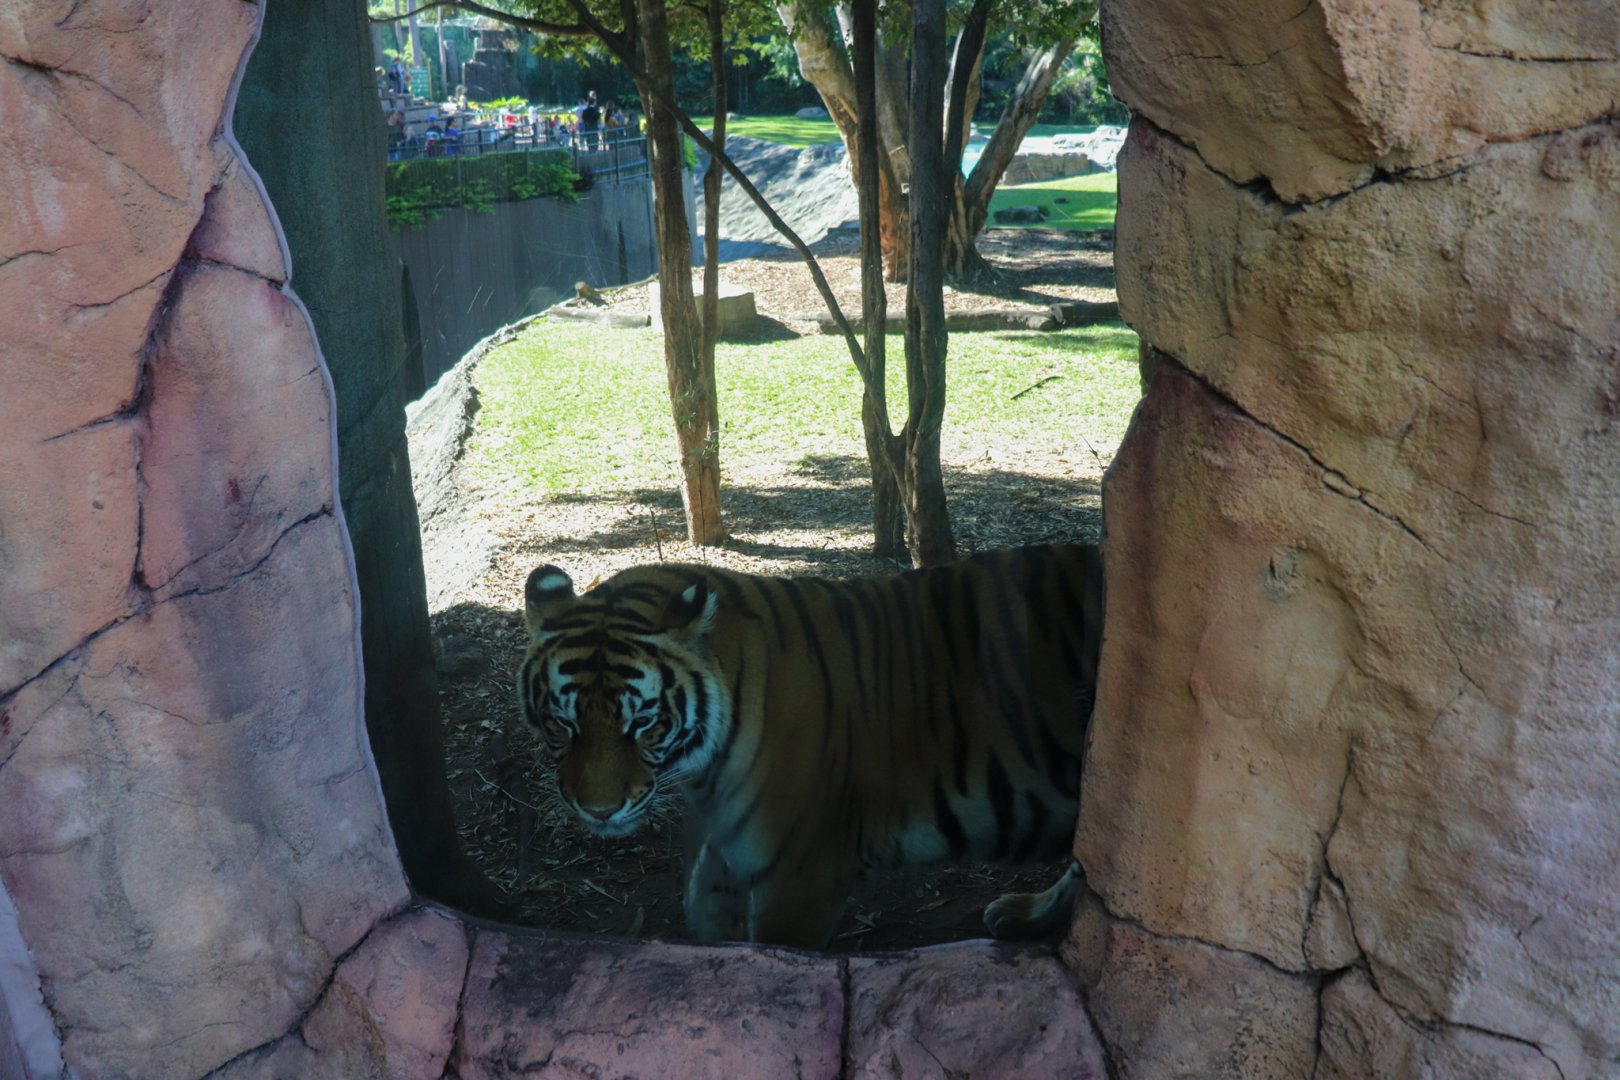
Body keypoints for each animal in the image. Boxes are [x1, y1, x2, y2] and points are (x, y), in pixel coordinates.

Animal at [515, 543, 1103, 949]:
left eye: (642, 723)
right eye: (563, 723)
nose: (598, 811)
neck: (706, 767)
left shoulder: (801, 876)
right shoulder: (729, 845)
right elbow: (705, 904)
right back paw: (1026, 914)